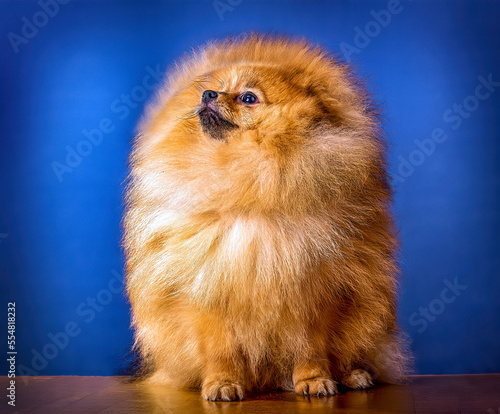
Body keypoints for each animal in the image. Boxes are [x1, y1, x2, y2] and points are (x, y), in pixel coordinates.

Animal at [123, 34, 408, 400]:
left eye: (248, 97)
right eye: (215, 89)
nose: (207, 94)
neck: (247, 185)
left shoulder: (313, 293)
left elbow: (310, 346)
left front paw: (314, 380)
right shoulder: (208, 289)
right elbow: (220, 349)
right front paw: (221, 382)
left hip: (365, 313)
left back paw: (354, 375)